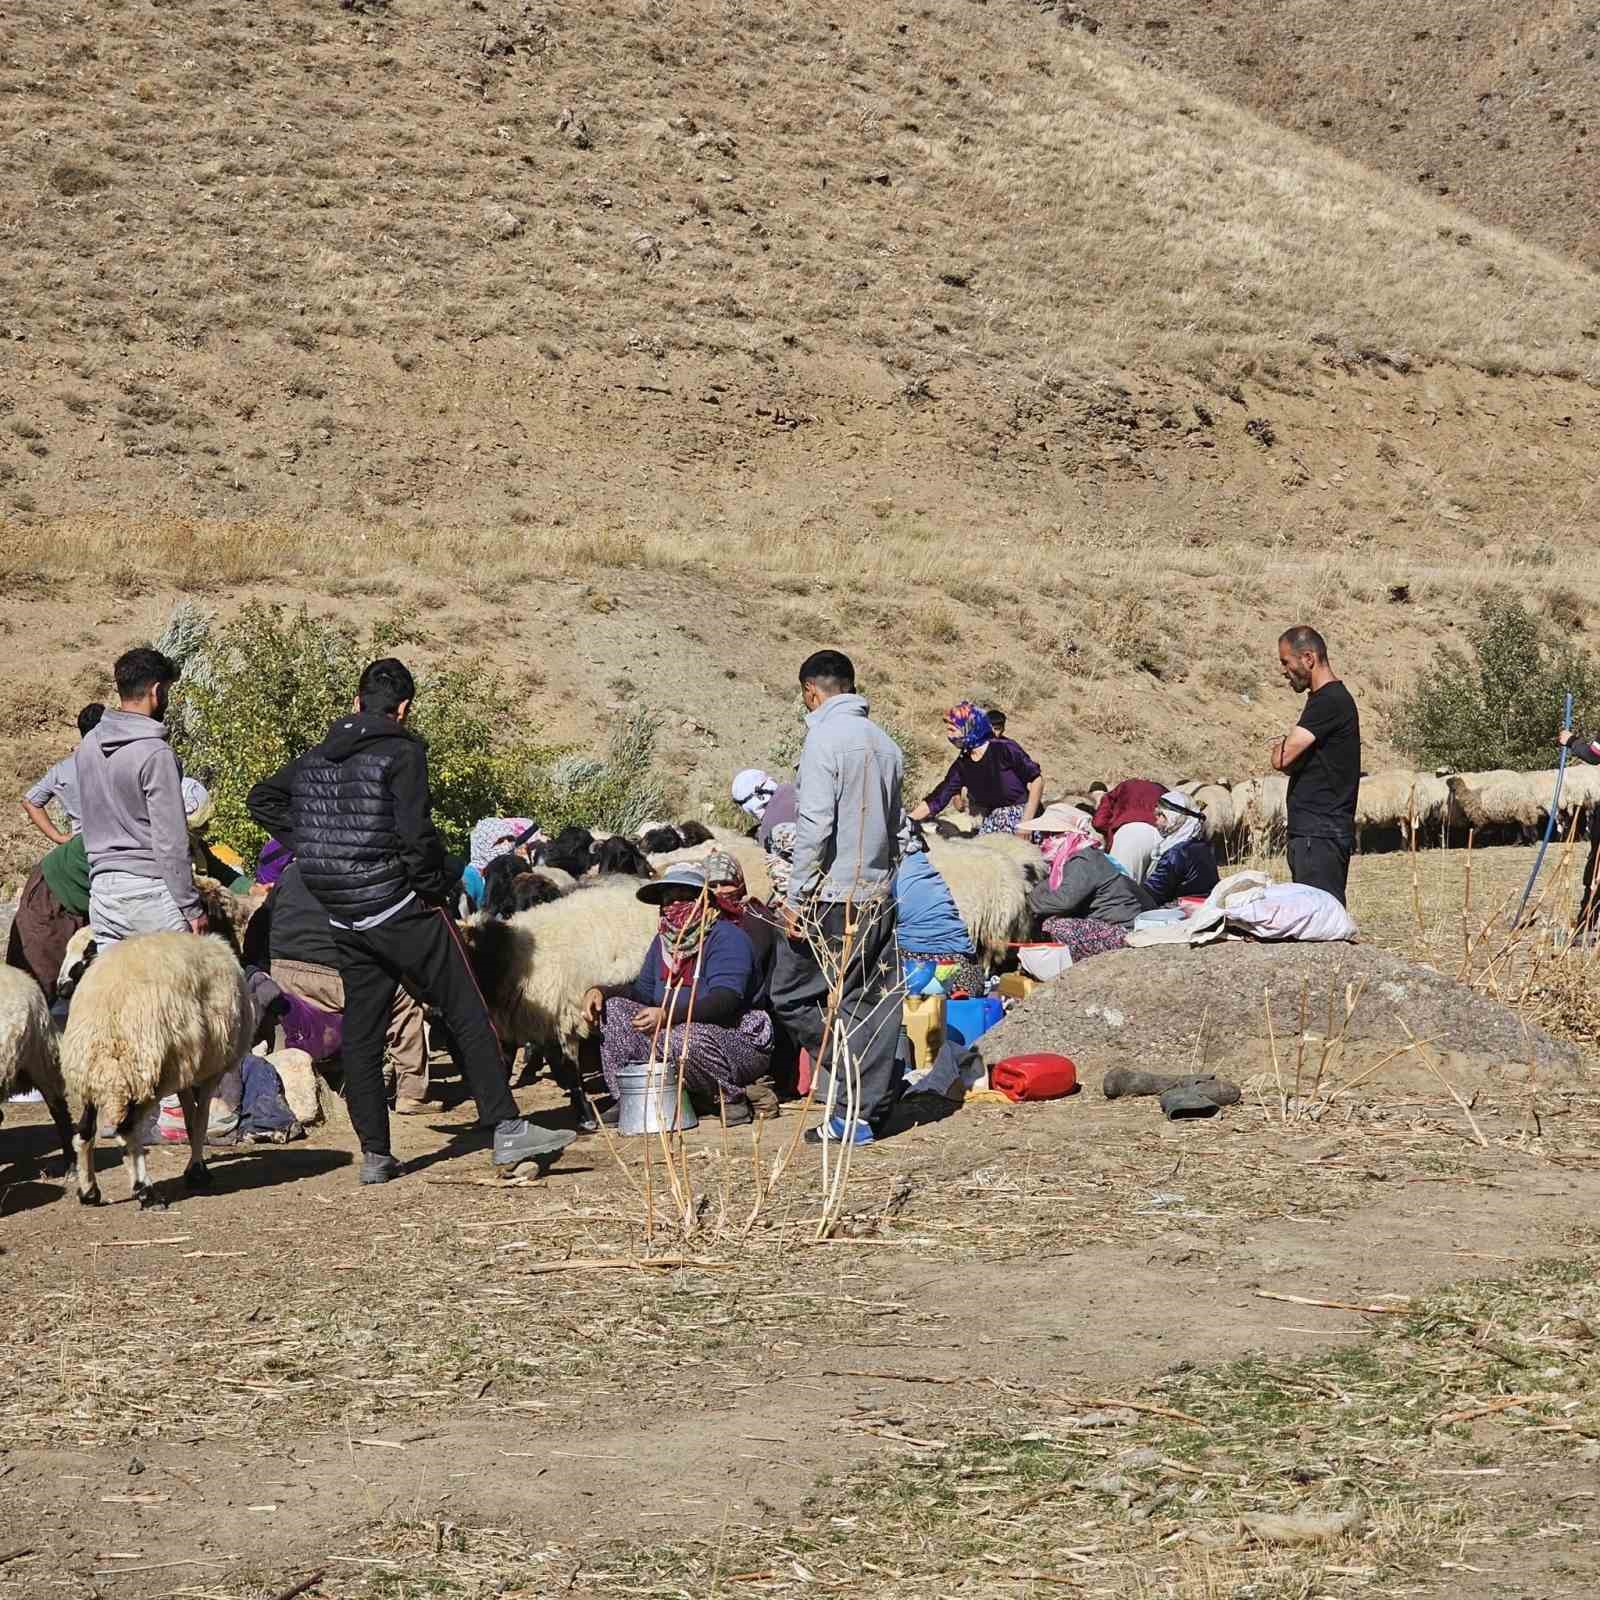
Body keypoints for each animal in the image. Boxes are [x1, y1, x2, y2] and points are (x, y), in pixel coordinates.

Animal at [64, 934, 254, 1203]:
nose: (61, 988)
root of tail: (104, 1024)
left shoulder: (185, 1068)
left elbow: (190, 1119)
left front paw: (195, 1170)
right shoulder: (211, 1072)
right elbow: (200, 1121)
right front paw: (197, 1172)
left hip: (93, 1076)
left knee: (84, 1132)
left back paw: (89, 1191)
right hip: (143, 1075)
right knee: (128, 1131)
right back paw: (145, 1190)